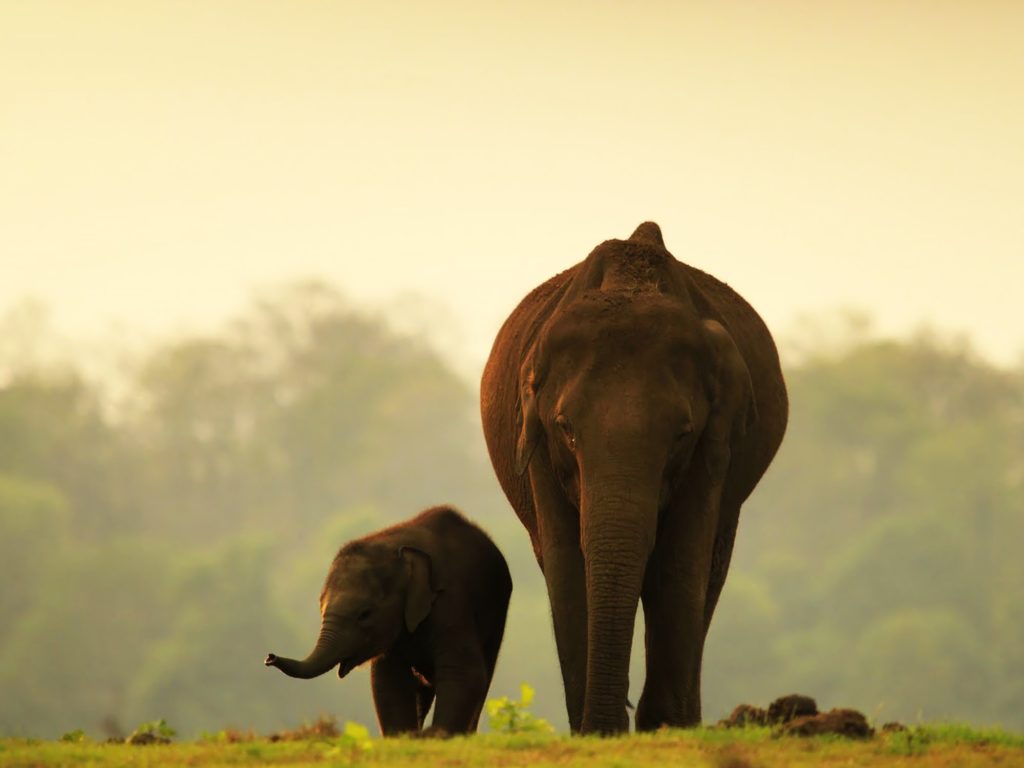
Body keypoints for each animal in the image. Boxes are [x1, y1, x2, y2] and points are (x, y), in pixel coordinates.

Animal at [264, 507, 512, 737]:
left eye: (364, 614)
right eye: (320, 606)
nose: (269, 657)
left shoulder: (452, 601)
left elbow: (463, 671)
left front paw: (435, 736)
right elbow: (388, 678)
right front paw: (404, 736)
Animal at [483, 221, 786, 733]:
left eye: (681, 433)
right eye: (566, 428)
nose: (611, 722)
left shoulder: (715, 440)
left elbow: (681, 558)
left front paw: (662, 726)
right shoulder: (538, 444)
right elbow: (566, 561)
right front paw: (593, 732)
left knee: (710, 571)